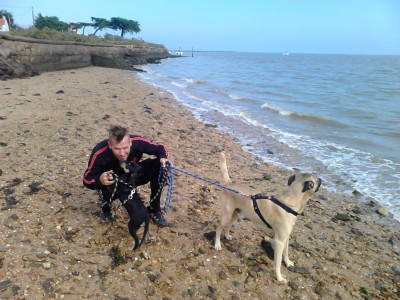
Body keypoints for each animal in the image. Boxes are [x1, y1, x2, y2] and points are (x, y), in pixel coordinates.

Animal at [212, 154, 322, 282]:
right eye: (318, 181)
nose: (321, 180)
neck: (289, 203)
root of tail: (229, 184)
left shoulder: (286, 237)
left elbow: (286, 252)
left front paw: (288, 262)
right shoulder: (279, 242)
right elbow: (278, 263)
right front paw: (279, 277)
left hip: (235, 215)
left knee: (228, 225)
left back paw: (227, 235)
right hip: (226, 214)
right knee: (218, 228)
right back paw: (217, 245)